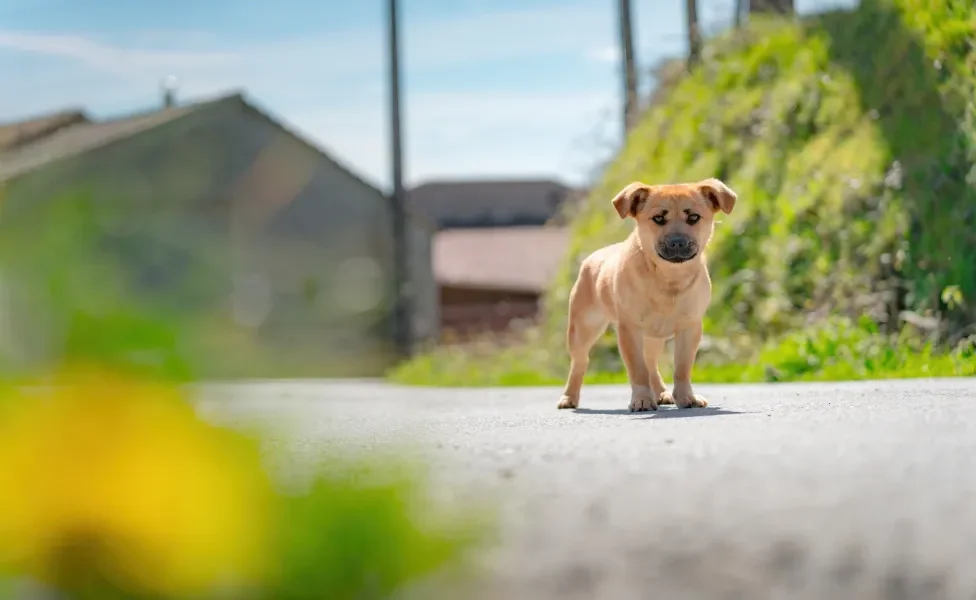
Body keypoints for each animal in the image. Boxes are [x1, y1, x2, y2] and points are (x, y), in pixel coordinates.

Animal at [556, 178, 732, 412]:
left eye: (693, 217)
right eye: (658, 218)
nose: (677, 241)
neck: (667, 277)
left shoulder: (690, 327)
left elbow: (682, 367)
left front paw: (686, 397)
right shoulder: (629, 330)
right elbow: (637, 370)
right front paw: (641, 400)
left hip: (653, 337)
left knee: (651, 363)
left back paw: (662, 393)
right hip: (583, 328)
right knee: (580, 361)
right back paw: (569, 397)